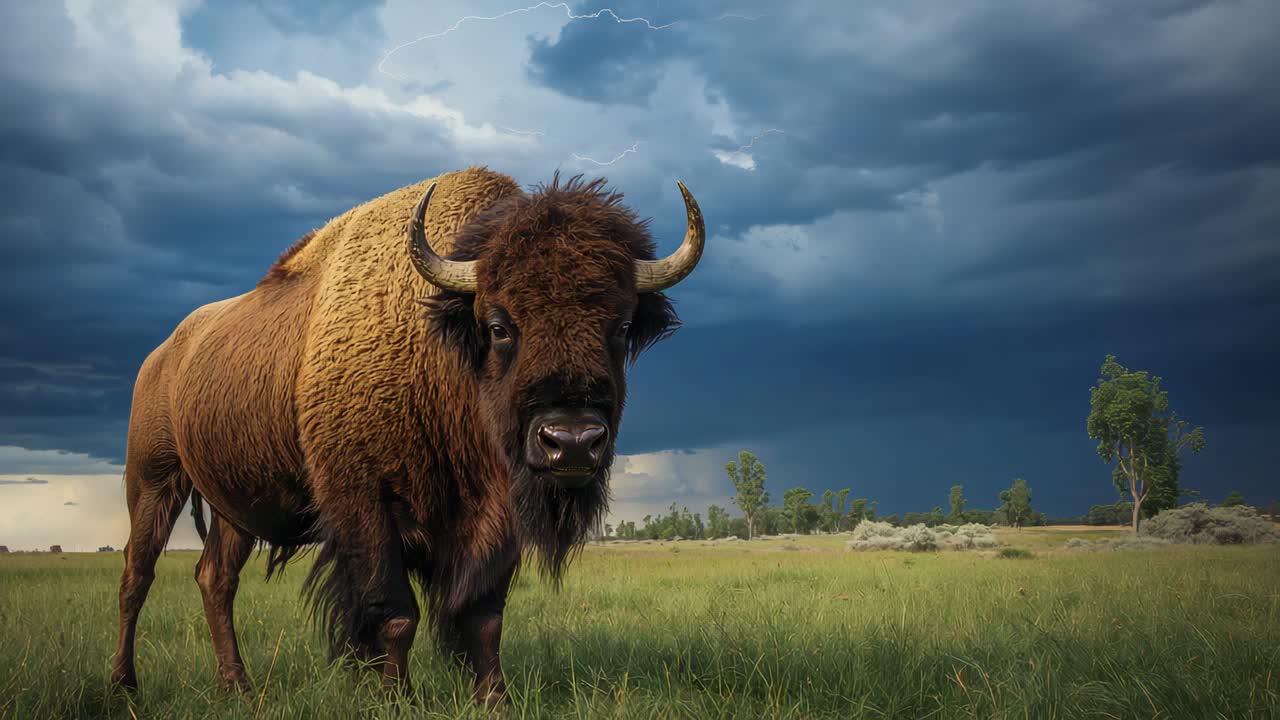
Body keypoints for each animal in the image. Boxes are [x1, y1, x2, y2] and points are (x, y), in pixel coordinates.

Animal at [110, 167, 705, 704]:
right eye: (498, 326)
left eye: (620, 326)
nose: (573, 441)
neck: (443, 347)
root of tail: (162, 354)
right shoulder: (365, 507)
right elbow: (394, 613)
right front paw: (397, 698)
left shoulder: (497, 521)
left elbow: (484, 616)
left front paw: (494, 698)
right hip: (154, 480)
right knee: (137, 576)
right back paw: (124, 683)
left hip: (233, 508)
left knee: (216, 579)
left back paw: (237, 686)